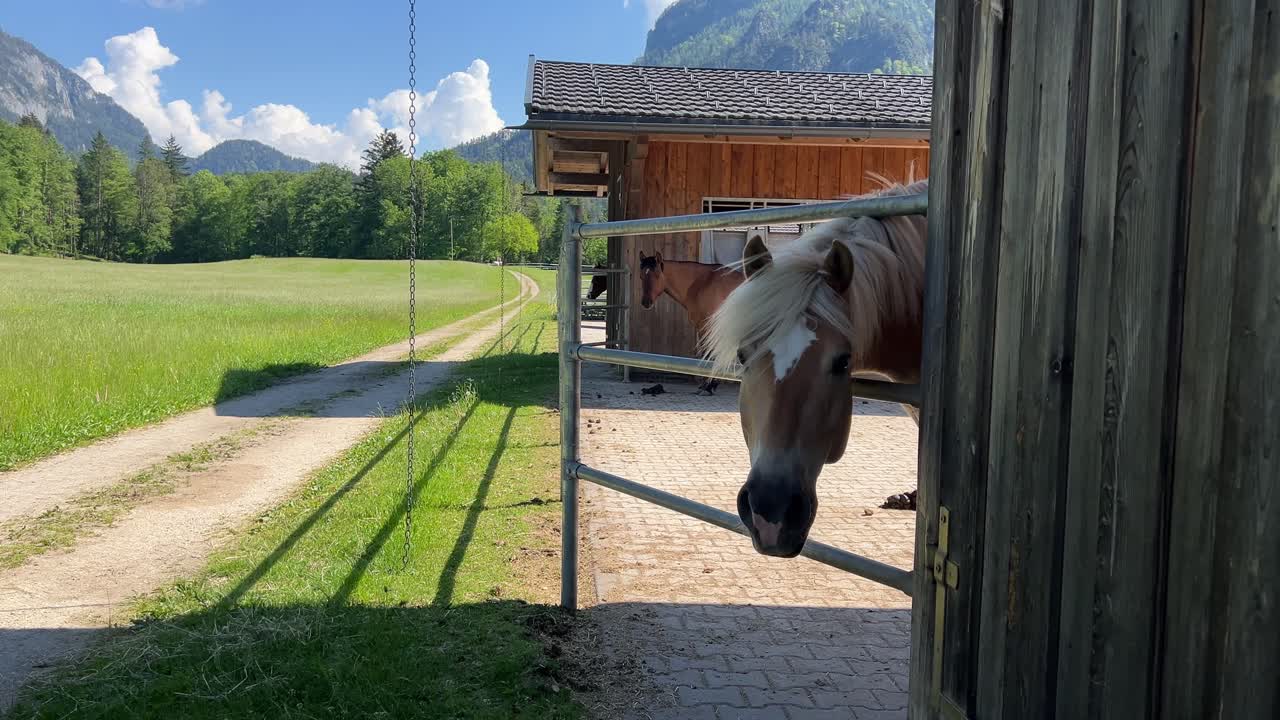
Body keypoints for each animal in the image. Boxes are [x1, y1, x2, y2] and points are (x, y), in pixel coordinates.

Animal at [637, 251, 745, 395]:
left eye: (657, 274)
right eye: (641, 276)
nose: (646, 302)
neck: (702, 284)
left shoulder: (706, 327)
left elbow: (709, 353)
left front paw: (707, 386)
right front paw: (711, 384)